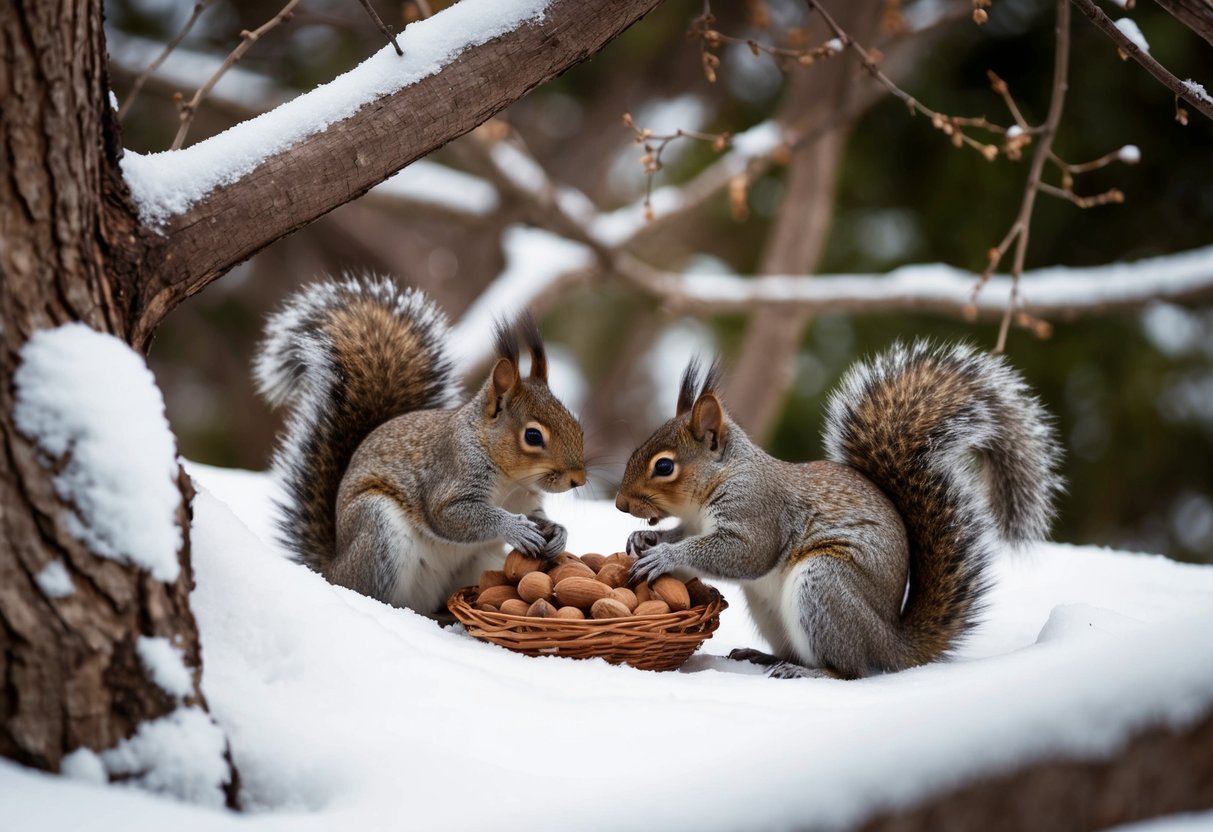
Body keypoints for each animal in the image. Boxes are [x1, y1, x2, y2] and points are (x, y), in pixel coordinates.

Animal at [254, 275, 586, 614]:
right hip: (377, 531)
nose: (579, 479)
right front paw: (514, 528)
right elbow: (453, 516)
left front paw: (558, 532)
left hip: (479, 562)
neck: (511, 481)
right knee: (372, 590)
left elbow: (539, 517)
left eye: (576, 425)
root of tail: (333, 570)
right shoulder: (451, 475)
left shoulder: (527, 502)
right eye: (533, 436)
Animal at [616, 341, 1063, 679]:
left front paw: (664, 556)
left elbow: (744, 553)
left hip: (825, 585)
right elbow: (685, 535)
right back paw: (766, 656)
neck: (720, 478)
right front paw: (646, 538)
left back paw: (810, 671)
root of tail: (892, 644)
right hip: (773, 611)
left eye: (665, 467)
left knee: (851, 671)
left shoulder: (758, 510)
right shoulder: (694, 522)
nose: (620, 504)